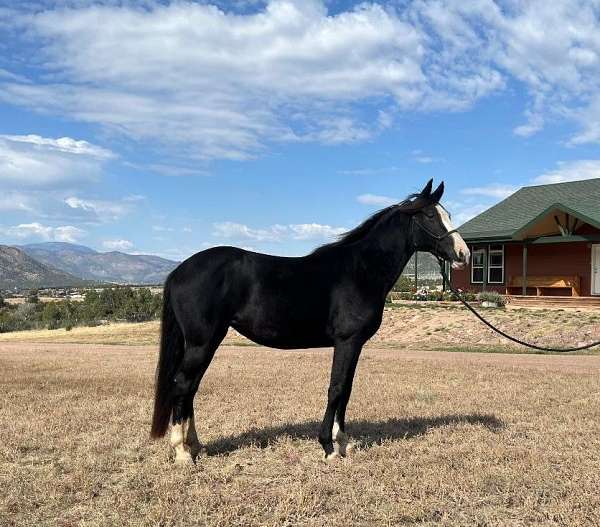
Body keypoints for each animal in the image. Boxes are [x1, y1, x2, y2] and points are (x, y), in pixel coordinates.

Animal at [150, 180, 468, 462]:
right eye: (431, 215)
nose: (463, 254)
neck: (360, 271)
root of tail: (179, 271)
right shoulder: (347, 341)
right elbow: (336, 388)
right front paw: (328, 447)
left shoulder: (355, 345)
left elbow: (346, 390)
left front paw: (343, 444)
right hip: (201, 343)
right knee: (182, 385)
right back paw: (181, 453)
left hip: (208, 341)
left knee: (191, 388)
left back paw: (196, 446)